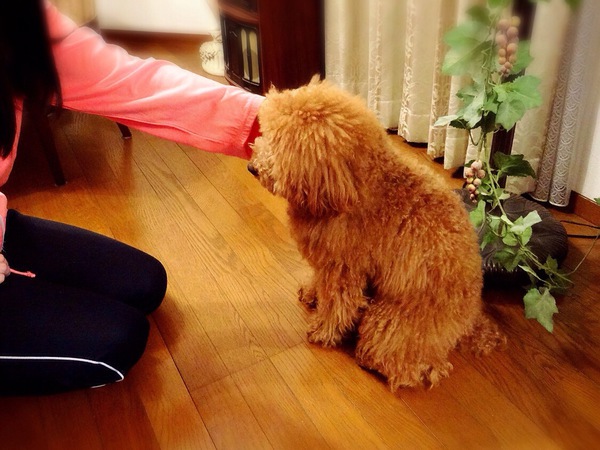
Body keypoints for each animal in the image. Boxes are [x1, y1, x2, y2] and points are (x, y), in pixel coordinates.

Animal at [246, 80, 504, 390]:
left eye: (281, 145)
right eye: (267, 134)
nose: (252, 167)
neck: (355, 185)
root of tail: (469, 320)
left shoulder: (344, 267)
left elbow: (338, 303)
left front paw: (323, 331)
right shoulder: (327, 261)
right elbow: (321, 283)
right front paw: (311, 293)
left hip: (391, 323)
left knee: (411, 362)